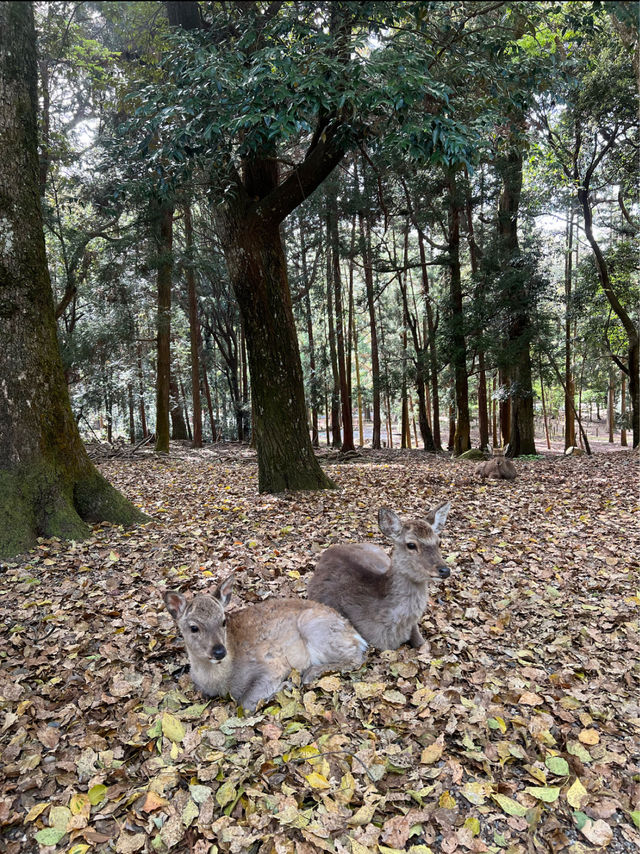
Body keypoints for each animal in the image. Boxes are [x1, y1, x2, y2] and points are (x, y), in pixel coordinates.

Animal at [162, 580, 368, 712]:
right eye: (194, 627)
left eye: (223, 621)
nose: (219, 651)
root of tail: (357, 634)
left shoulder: (272, 664)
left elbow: (245, 703)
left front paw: (286, 685)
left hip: (315, 628)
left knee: (356, 657)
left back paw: (310, 674)